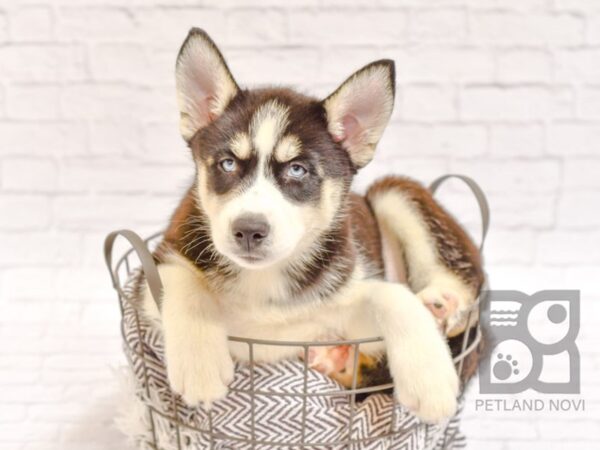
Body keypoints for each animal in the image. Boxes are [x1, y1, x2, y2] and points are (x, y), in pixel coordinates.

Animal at [143, 29, 486, 426]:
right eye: (228, 163)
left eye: (298, 170)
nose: (248, 230)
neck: (264, 281)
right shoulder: (158, 263)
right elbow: (181, 278)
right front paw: (200, 365)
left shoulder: (346, 297)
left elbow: (391, 296)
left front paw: (429, 378)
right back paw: (339, 361)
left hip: (393, 192)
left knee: (467, 287)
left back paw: (440, 304)